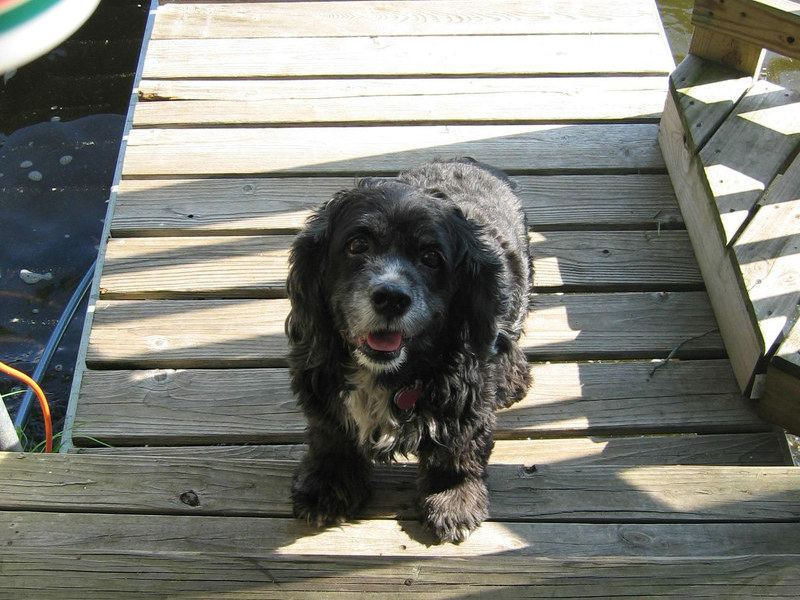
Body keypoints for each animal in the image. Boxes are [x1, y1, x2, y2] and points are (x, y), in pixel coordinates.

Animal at [286, 157, 532, 540]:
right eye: (357, 245)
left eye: (431, 257)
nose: (391, 297)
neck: (387, 374)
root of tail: (469, 161)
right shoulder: (321, 387)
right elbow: (331, 438)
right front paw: (327, 484)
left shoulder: (467, 394)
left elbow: (458, 448)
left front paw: (452, 497)